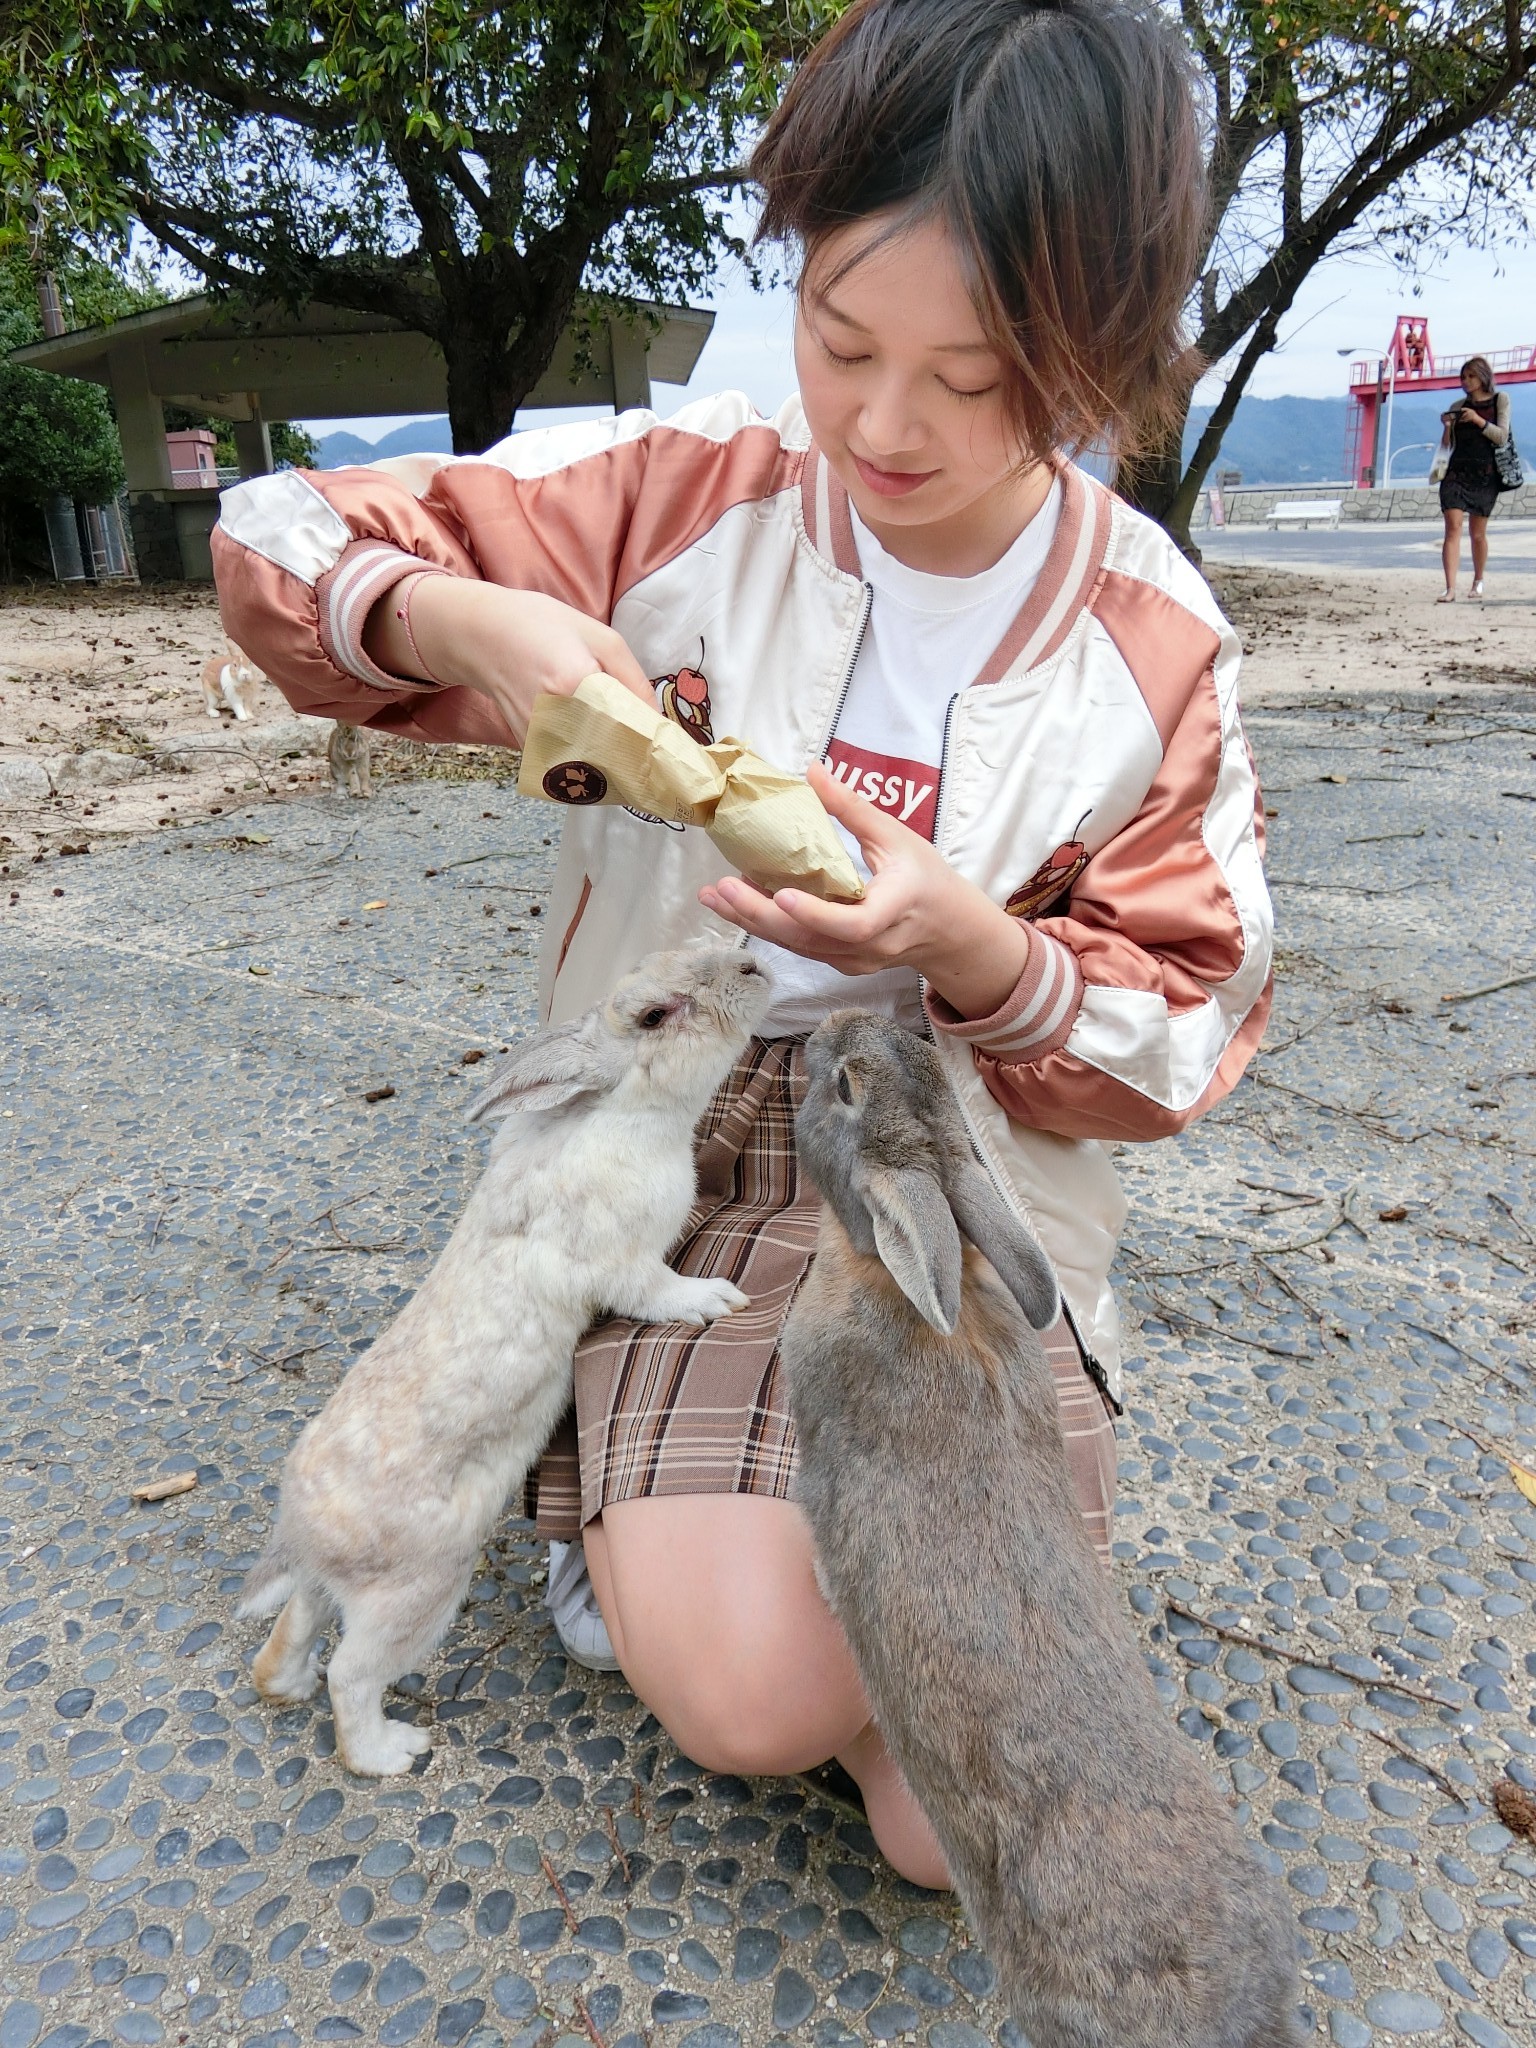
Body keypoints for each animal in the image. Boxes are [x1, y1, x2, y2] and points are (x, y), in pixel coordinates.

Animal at [240, 942, 774, 1777]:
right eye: (655, 1013)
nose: (754, 969)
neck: (614, 1109)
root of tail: (302, 1530)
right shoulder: (626, 1265)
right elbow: (659, 1289)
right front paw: (715, 1300)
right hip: (421, 1591)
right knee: (351, 1675)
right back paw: (390, 1753)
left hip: (337, 1591)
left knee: (297, 1627)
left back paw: (283, 1686)